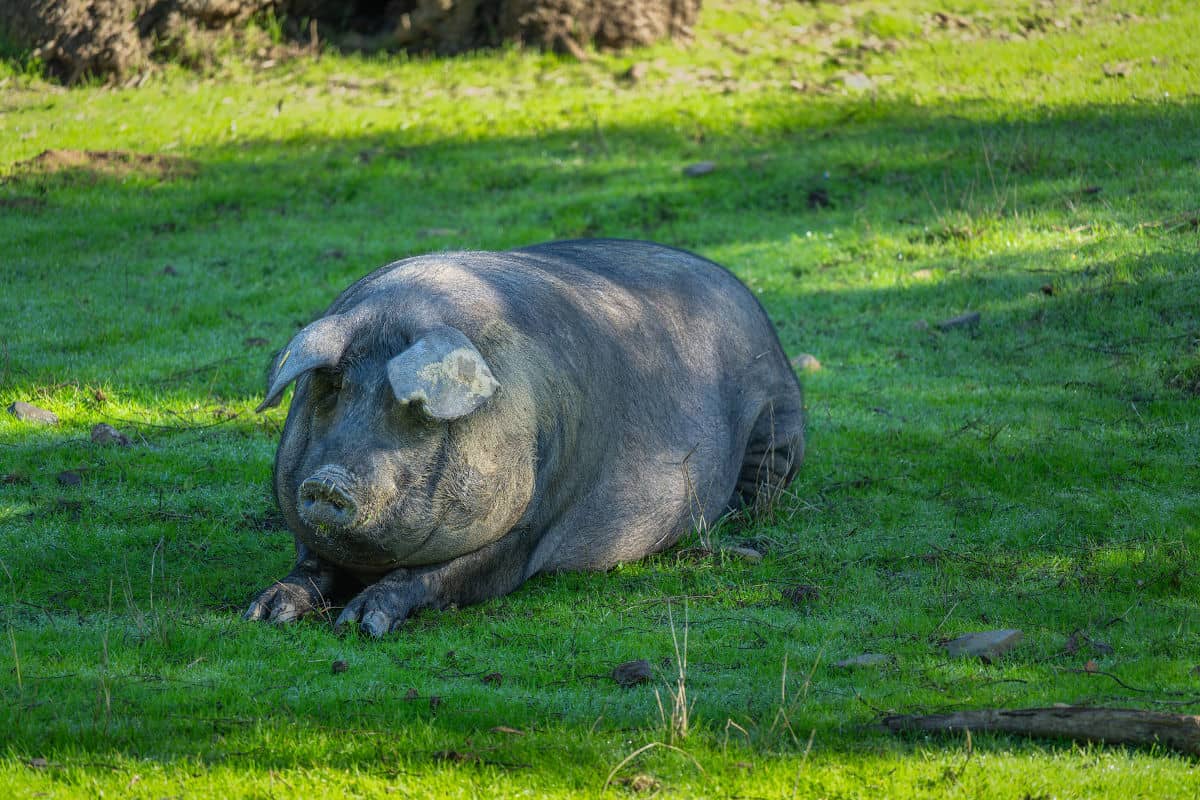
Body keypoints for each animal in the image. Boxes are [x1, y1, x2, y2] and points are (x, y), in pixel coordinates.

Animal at [243, 239, 804, 636]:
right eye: (333, 388)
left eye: (415, 410)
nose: (328, 483)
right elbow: (311, 564)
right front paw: (262, 612)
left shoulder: (534, 521)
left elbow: (442, 575)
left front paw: (363, 624)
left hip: (779, 418)